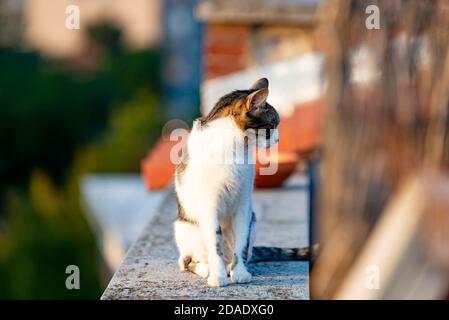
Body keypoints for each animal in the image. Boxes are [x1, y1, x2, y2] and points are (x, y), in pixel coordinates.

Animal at [174, 78, 312, 288]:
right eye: (272, 125)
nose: (278, 139)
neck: (235, 147)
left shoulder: (243, 203)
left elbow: (241, 244)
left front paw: (239, 272)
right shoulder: (209, 205)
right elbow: (215, 244)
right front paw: (218, 275)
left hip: (252, 220)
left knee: (243, 252)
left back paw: (233, 266)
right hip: (187, 228)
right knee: (187, 261)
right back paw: (208, 269)